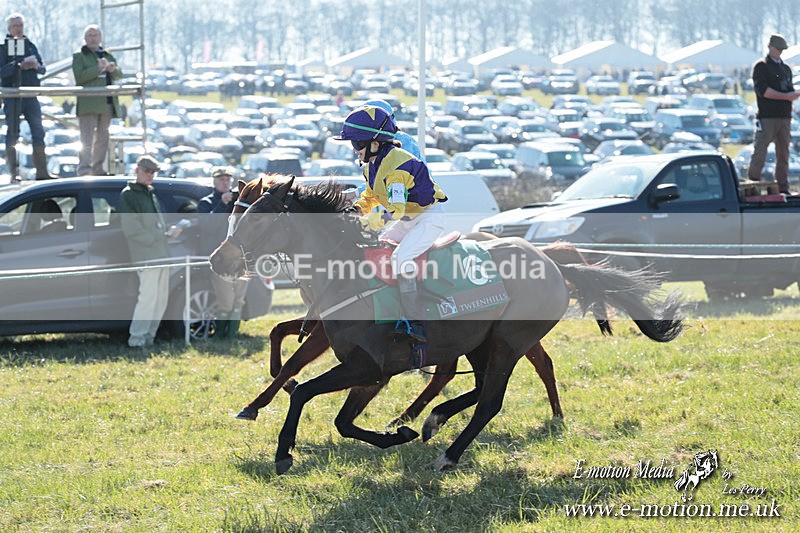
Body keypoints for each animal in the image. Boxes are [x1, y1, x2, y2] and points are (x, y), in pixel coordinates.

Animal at [231, 176, 568, 423]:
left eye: (257, 219)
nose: (224, 257)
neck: (345, 272)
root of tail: (548, 261)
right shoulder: (323, 326)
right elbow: (282, 340)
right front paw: (266, 397)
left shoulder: (345, 347)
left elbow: (294, 361)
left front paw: (259, 402)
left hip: (506, 339)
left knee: (532, 366)